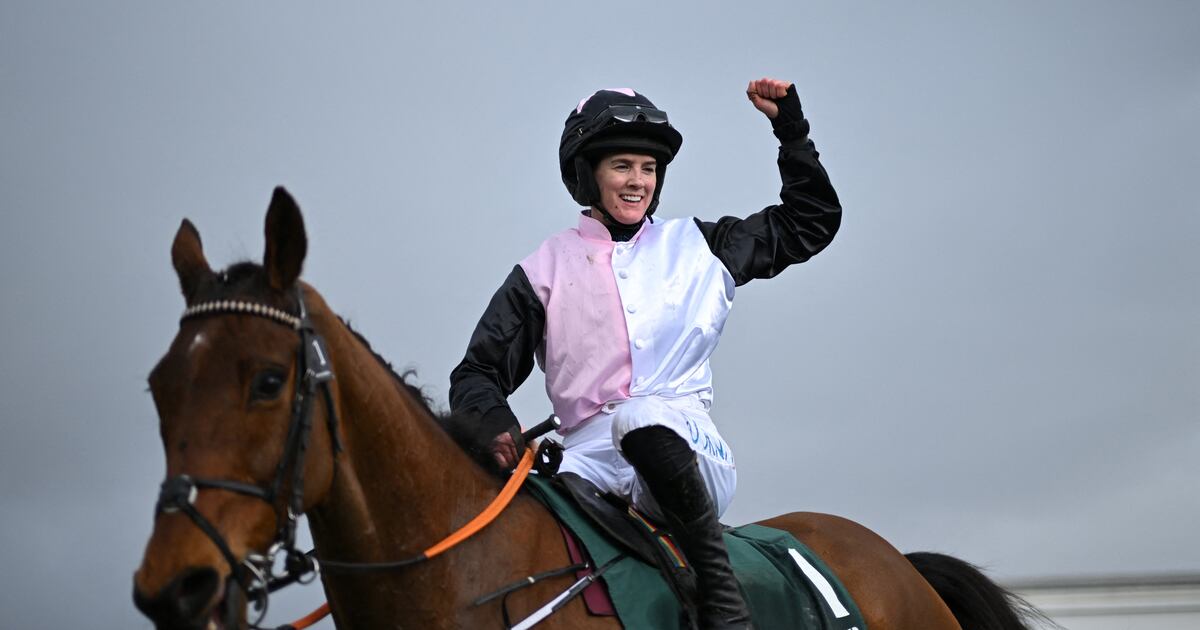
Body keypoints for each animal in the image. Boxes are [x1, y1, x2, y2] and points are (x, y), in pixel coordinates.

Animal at [133, 187, 1038, 630]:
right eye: (158, 387)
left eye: (266, 381)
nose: (172, 588)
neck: (472, 581)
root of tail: (897, 559)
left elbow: (805, 223)